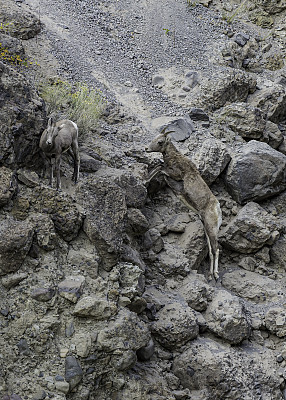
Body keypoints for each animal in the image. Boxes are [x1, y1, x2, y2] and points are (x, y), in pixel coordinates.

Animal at [146, 130, 222, 280]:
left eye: (160, 142)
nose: (146, 149)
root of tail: (217, 208)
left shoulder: (174, 174)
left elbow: (160, 168)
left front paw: (144, 180)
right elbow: (159, 166)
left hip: (211, 228)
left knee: (216, 249)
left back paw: (216, 274)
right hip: (206, 227)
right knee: (211, 250)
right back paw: (210, 275)